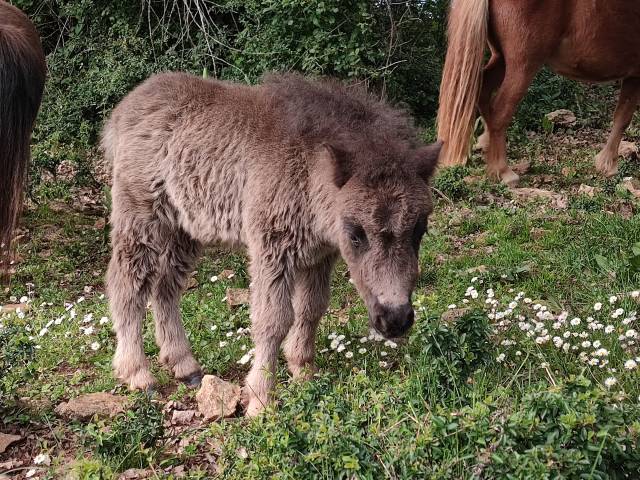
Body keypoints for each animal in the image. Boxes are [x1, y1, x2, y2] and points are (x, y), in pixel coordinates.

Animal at [102, 72, 442, 416]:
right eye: (356, 234)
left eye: (419, 230)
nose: (395, 319)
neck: (309, 170)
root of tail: (121, 113)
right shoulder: (272, 249)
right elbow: (273, 320)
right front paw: (261, 398)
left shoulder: (319, 255)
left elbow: (311, 308)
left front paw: (303, 369)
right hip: (140, 219)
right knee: (127, 284)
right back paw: (137, 373)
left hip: (184, 230)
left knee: (165, 288)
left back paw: (184, 365)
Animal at [438, 0, 640, 186]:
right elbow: (623, 119)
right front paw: (609, 164)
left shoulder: (633, 77)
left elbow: (621, 117)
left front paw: (606, 163)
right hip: (523, 66)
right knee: (500, 111)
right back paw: (504, 171)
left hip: (501, 60)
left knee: (484, 89)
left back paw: (486, 145)